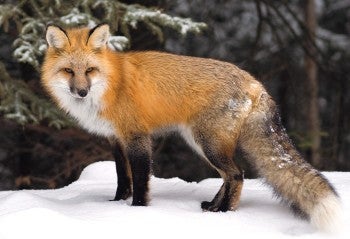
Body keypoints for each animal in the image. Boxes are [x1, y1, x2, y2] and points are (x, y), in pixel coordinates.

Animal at [41, 23, 342, 230]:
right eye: (69, 71)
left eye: (90, 70)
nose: (81, 92)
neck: (111, 85)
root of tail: (255, 83)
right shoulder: (115, 139)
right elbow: (122, 179)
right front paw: (116, 205)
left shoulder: (137, 136)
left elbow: (140, 180)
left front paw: (137, 211)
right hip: (201, 143)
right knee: (230, 175)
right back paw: (213, 206)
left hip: (207, 144)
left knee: (237, 175)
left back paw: (226, 213)